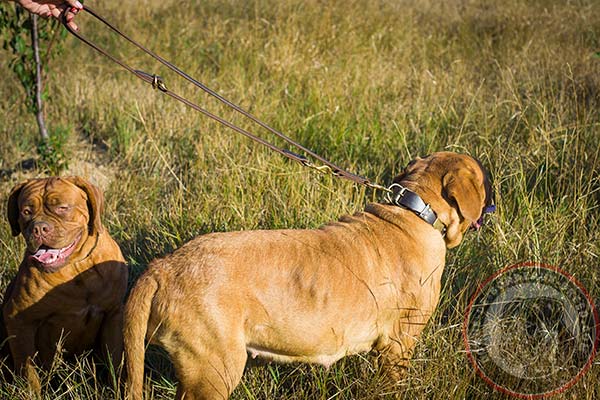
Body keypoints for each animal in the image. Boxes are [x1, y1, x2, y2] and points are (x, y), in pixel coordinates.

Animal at [0, 177, 127, 390]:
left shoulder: (113, 315)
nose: (39, 228)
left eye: (62, 208)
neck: (75, 267)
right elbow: (29, 371)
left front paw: (117, 389)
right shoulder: (18, 320)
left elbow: (115, 361)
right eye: (26, 211)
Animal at [124, 151, 494, 400]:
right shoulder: (399, 343)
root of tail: (163, 266)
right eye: (482, 179)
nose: (495, 192)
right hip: (212, 371)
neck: (417, 211)